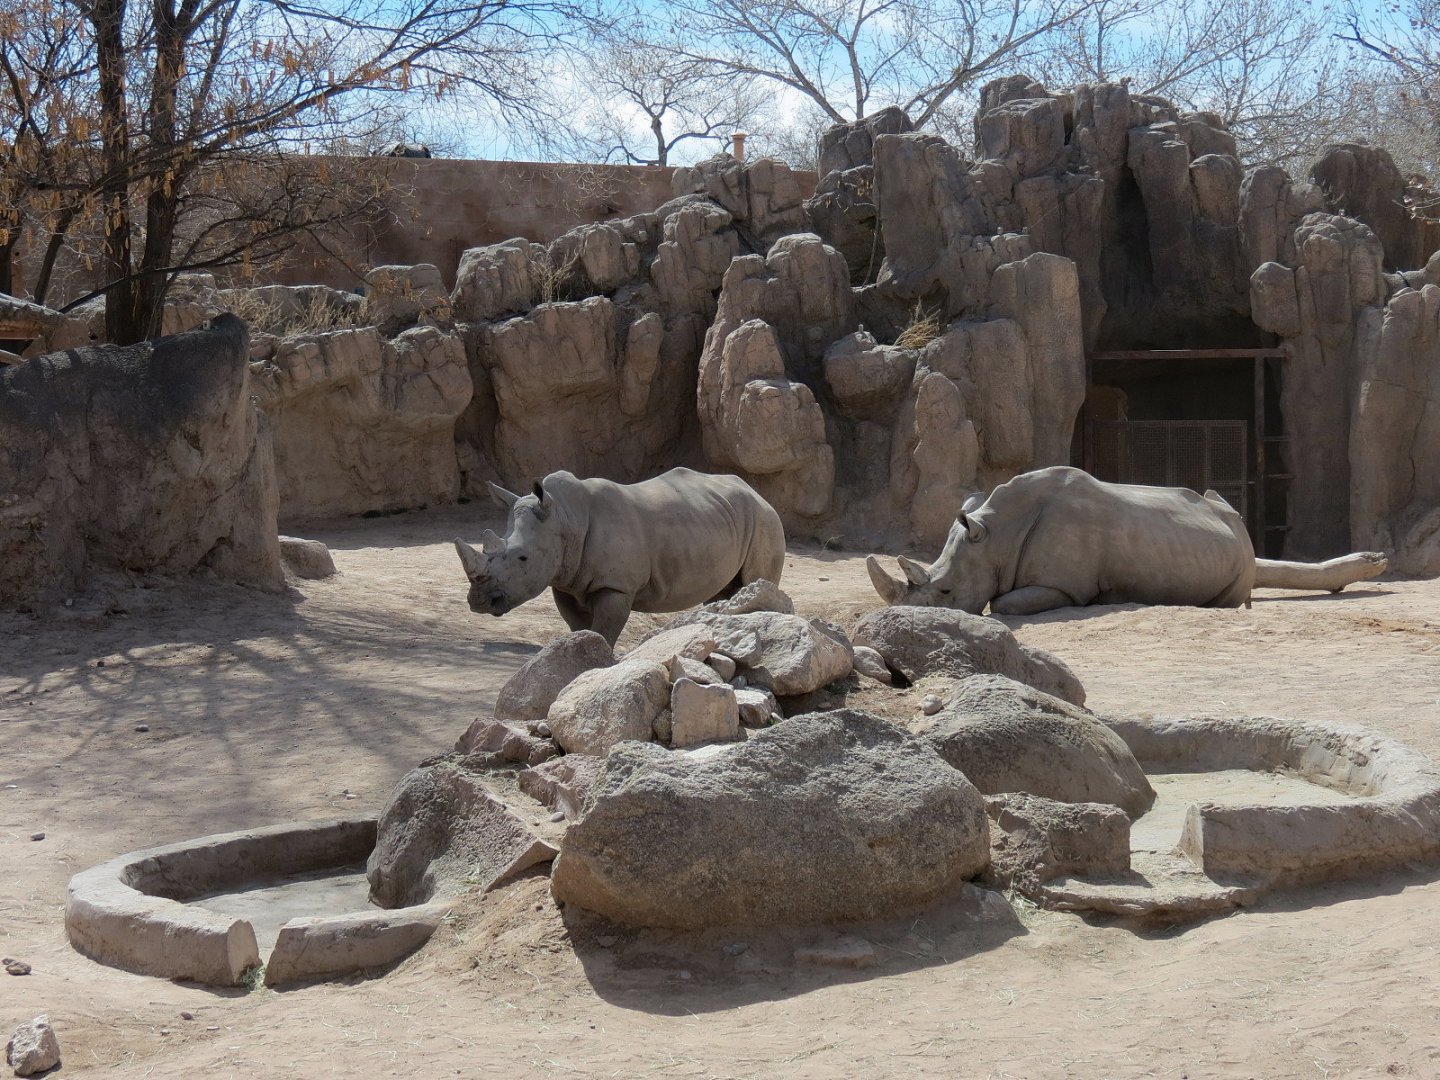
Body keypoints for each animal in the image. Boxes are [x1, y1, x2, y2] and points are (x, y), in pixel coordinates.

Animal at [454, 467, 786, 645]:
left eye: (522, 558)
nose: (479, 602)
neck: (565, 519)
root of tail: (756, 492)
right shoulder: (565, 581)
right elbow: (579, 626)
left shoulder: (615, 586)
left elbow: (604, 630)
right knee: (723, 590)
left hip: (765, 520)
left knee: (754, 581)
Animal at [868, 466, 1388, 616]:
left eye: (947, 591)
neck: (996, 535)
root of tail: (1240, 529)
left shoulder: (1063, 585)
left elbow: (1003, 604)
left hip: (1237, 557)